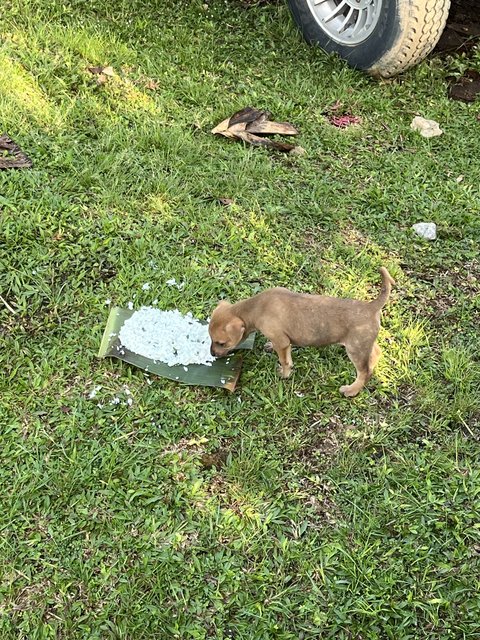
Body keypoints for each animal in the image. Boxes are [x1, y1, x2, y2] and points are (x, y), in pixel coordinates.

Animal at [209, 264, 394, 396]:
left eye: (222, 343)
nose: (212, 354)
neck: (255, 308)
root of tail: (371, 307)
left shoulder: (282, 342)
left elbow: (285, 361)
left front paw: (284, 374)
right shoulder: (284, 342)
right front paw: (270, 347)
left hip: (355, 348)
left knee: (364, 372)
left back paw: (351, 390)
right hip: (364, 344)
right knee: (375, 353)